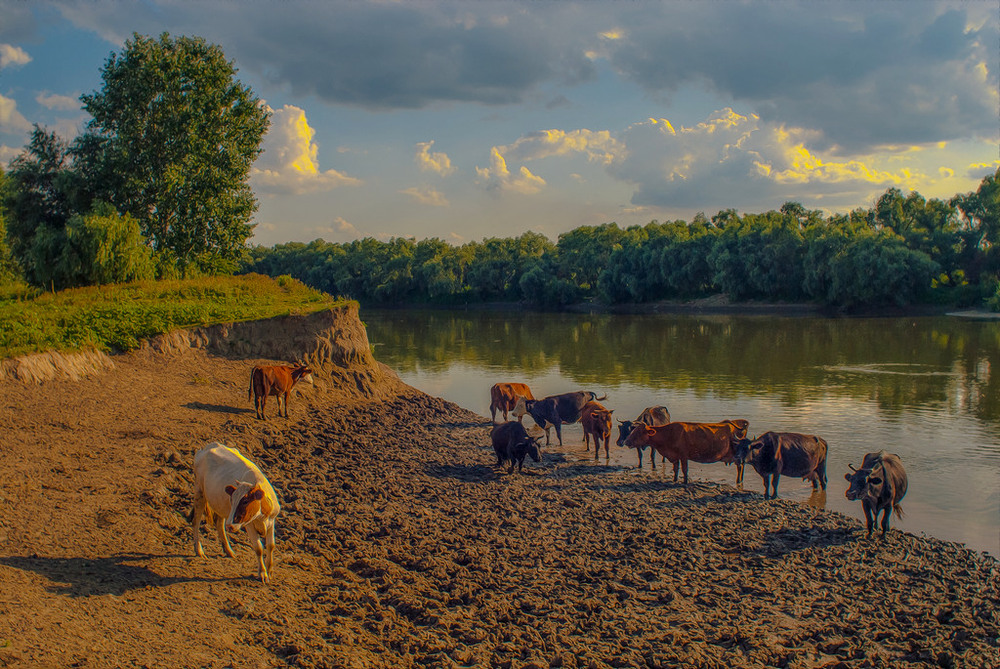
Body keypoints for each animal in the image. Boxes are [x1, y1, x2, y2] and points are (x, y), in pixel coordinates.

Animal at [624, 420, 752, 482]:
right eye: (633, 430)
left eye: (639, 432)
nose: (626, 441)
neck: (667, 434)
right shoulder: (674, 456)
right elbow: (675, 469)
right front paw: (675, 479)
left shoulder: (683, 455)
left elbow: (684, 470)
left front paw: (685, 482)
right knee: (741, 466)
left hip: (737, 454)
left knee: (740, 466)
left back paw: (739, 481)